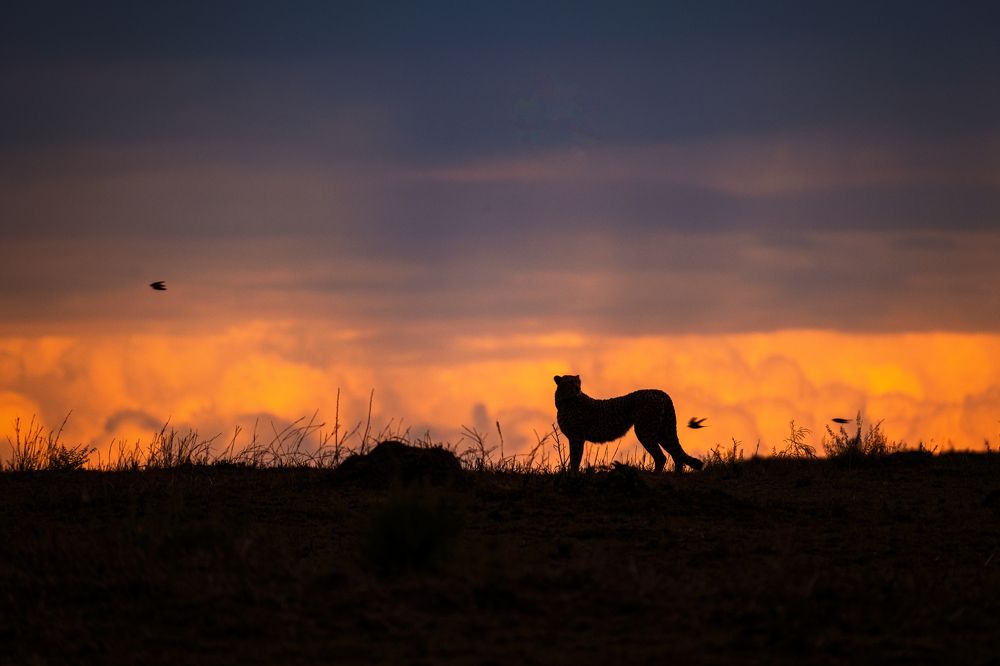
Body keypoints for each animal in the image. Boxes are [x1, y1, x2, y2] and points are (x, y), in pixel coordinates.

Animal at [553, 374, 703, 474]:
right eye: (569, 382)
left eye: (578, 382)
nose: (577, 388)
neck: (564, 401)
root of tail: (658, 391)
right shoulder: (575, 437)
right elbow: (575, 457)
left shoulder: (577, 436)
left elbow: (575, 457)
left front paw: (573, 475)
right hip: (663, 431)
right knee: (676, 454)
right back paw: (676, 475)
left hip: (644, 430)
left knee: (661, 456)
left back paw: (655, 475)